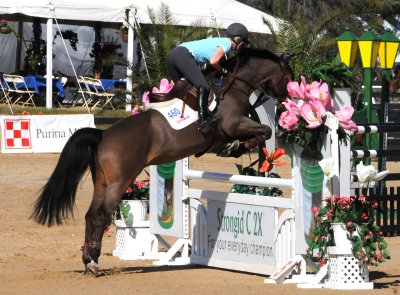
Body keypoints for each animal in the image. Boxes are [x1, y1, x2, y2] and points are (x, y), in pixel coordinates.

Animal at [31, 47, 292, 276]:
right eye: (288, 76)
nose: (287, 98)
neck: (234, 84)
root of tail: (103, 135)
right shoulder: (234, 124)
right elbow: (266, 130)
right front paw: (237, 147)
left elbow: (263, 132)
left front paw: (238, 148)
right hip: (119, 181)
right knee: (102, 215)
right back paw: (94, 262)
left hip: (102, 183)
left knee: (90, 214)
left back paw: (88, 259)